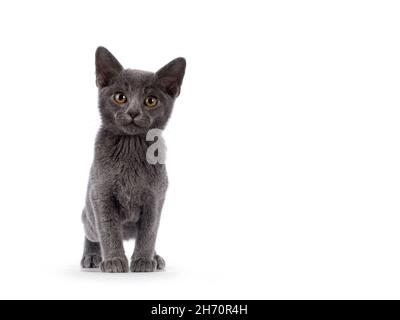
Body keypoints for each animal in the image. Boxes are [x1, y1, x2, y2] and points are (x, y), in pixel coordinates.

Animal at [80, 47, 186, 272]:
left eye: (151, 100)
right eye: (120, 97)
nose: (133, 112)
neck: (130, 148)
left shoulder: (155, 199)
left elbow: (149, 233)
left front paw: (144, 260)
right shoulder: (101, 195)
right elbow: (108, 231)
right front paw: (113, 261)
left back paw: (156, 257)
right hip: (89, 214)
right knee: (89, 230)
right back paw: (92, 256)